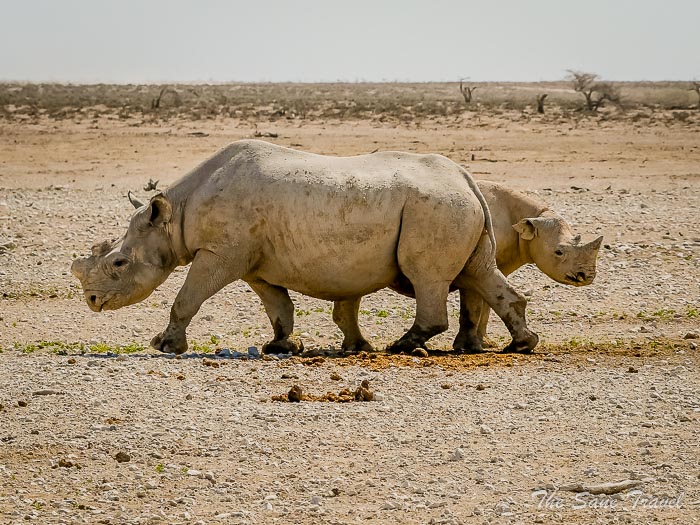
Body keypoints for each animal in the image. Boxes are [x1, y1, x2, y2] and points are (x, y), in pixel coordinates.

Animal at [71, 140, 538, 355]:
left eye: (118, 262)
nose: (93, 301)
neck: (174, 218)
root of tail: (466, 178)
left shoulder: (221, 253)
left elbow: (188, 296)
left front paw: (164, 346)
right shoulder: (252, 262)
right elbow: (277, 305)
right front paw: (280, 347)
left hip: (437, 207)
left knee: (428, 277)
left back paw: (401, 347)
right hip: (454, 206)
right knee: (480, 272)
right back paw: (520, 345)